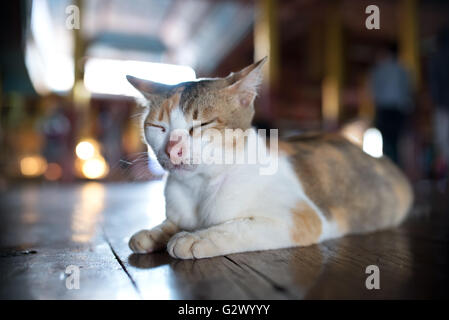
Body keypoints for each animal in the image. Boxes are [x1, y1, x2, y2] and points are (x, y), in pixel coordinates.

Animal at [126, 56, 412, 258]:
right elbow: (171, 222)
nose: (172, 149)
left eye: (201, 124)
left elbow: (238, 226)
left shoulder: (300, 218)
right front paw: (154, 233)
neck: (200, 187)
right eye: (158, 127)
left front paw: (197, 237)